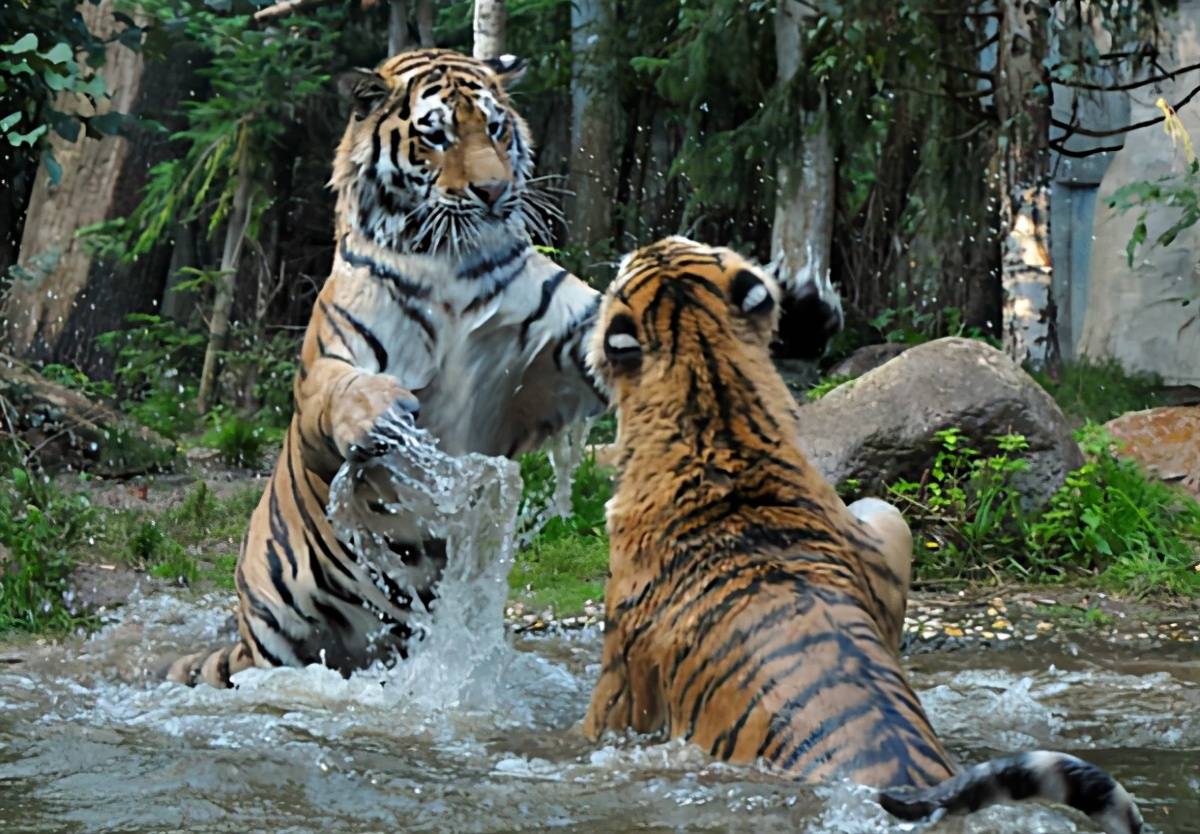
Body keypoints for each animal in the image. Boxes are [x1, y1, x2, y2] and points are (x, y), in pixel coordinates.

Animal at [166, 47, 844, 691]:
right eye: (436, 135)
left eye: (494, 127)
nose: (493, 192)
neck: (446, 265)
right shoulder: (324, 372)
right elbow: (343, 390)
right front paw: (383, 415)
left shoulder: (563, 350)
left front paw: (801, 310)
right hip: (281, 637)